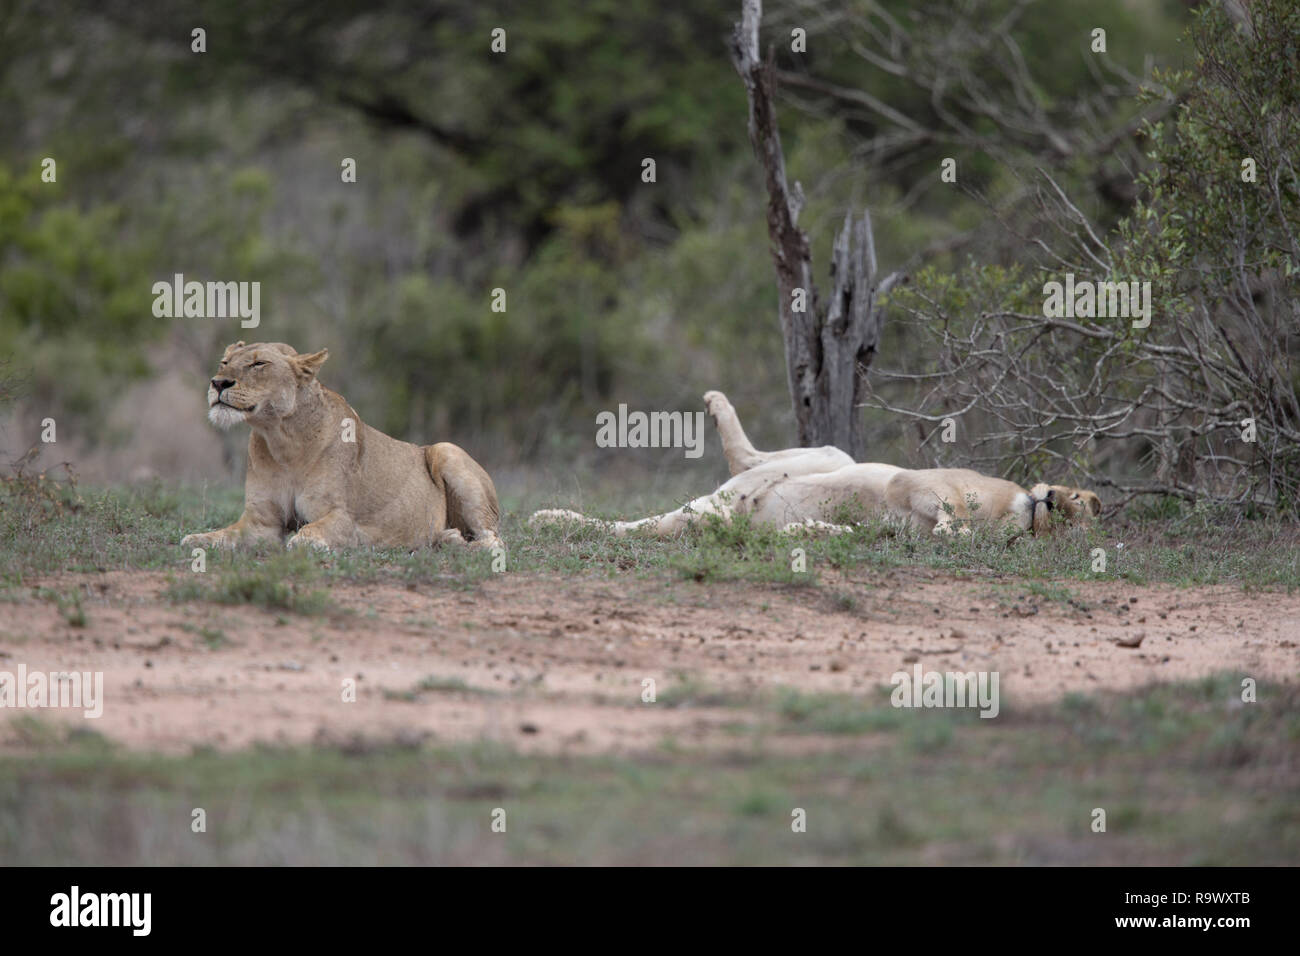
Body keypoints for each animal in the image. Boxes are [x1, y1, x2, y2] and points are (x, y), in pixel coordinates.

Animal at [183, 343, 501, 554]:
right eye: (224, 362)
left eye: (258, 364)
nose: (218, 383)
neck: (282, 441)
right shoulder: (260, 522)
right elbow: (222, 534)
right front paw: (196, 539)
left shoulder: (344, 518)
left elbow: (311, 529)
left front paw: (305, 542)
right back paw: (446, 538)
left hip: (446, 450)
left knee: (495, 540)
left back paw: (456, 542)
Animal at [533, 390, 1102, 538]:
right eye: (1077, 500)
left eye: (1073, 516)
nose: (1052, 499)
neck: (1018, 513)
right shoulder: (913, 480)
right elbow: (946, 506)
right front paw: (952, 527)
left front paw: (803, 533)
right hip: (832, 455)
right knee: (750, 458)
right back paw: (716, 405)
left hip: (712, 513)